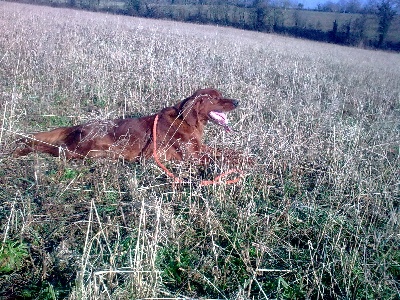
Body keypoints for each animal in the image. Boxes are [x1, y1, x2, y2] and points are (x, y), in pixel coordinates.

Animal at [14, 89, 241, 164]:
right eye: (216, 99)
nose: (237, 101)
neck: (185, 121)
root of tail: (78, 126)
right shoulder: (192, 157)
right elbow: (223, 158)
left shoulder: (200, 149)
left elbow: (228, 152)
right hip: (84, 151)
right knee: (47, 147)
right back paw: (21, 150)